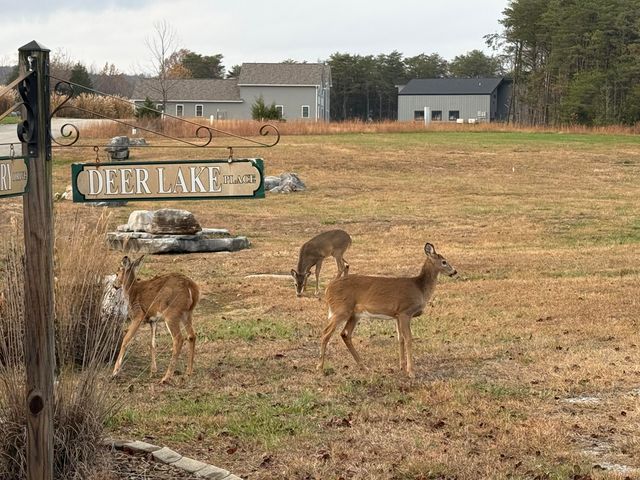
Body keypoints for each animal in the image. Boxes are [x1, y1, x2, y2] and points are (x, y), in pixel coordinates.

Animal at [111, 255, 200, 384]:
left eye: (117, 273)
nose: (114, 285)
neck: (131, 291)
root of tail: (191, 287)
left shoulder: (139, 315)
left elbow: (126, 339)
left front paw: (115, 371)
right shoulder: (153, 321)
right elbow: (152, 343)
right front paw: (153, 371)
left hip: (172, 312)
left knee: (178, 339)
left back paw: (166, 377)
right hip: (187, 313)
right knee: (192, 336)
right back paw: (188, 372)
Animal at [317, 242, 456, 377]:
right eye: (444, 261)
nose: (454, 272)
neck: (420, 288)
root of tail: (328, 289)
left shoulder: (397, 315)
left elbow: (400, 338)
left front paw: (402, 367)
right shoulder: (405, 312)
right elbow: (409, 339)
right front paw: (411, 371)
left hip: (354, 314)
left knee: (345, 334)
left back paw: (364, 367)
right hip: (341, 309)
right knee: (326, 333)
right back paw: (320, 367)